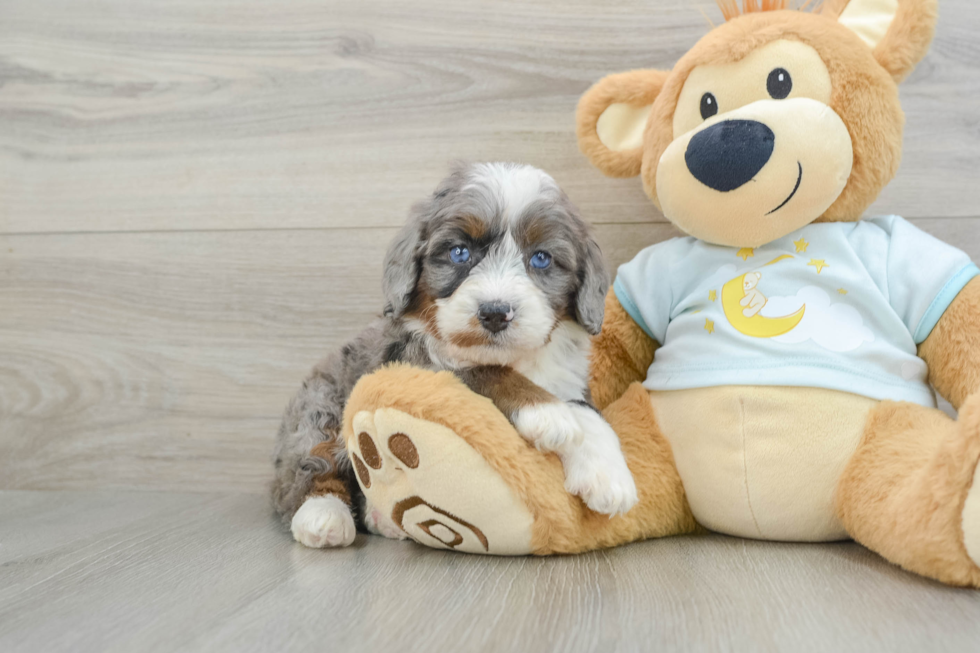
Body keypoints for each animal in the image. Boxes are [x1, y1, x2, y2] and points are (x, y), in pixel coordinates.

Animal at [272, 162, 640, 544]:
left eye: (541, 258)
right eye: (459, 252)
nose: (495, 312)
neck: (514, 358)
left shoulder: (568, 377)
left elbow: (589, 413)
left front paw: (609, 476)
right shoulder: (416, 364)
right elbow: (482, 371)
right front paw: (547, 413)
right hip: (319, 410)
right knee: (309, 466)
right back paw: (323, 515)